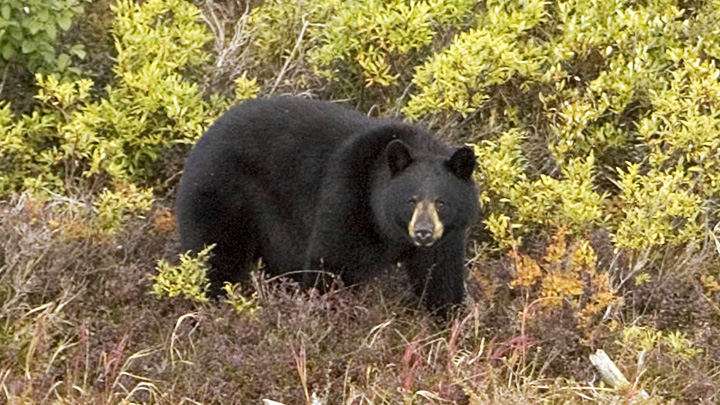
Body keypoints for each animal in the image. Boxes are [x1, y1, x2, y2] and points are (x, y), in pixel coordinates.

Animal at [176, 96, 478, 314]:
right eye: (410, 200)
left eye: (442, 202)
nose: (423, 232)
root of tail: (201, 141)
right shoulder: (347, 198)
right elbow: (332, 262)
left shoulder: (447, 237)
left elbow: (441, 277)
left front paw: (447, 321)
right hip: (222, 195)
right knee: (217, 255)